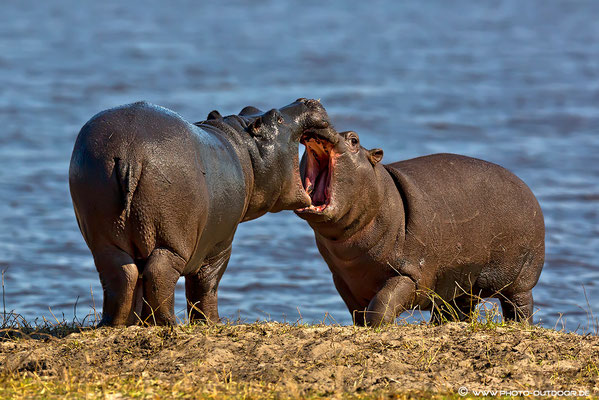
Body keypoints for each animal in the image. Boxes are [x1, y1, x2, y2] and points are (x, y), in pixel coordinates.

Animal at [71, 98, 332, 326]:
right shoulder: (220, 244)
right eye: (277, 117)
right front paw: (213, 323)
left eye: (251, 108)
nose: (305, 99)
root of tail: (130, 152)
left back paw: (113, 324)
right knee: (159, 273)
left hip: (104, 235)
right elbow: (206, 285)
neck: (244, 149)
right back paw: (168, 323)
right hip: (172, 239)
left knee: (121, 273)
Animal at [296, 130, 544, 326]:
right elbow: (357, 311)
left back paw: (520, 326)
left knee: (520, 306)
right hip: (462, 279)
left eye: (354, 140)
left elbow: (383, 301)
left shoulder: (409, 275)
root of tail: (526, 187)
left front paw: (375, 326)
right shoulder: (342, 280)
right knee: (456, 309)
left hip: (520, 280)